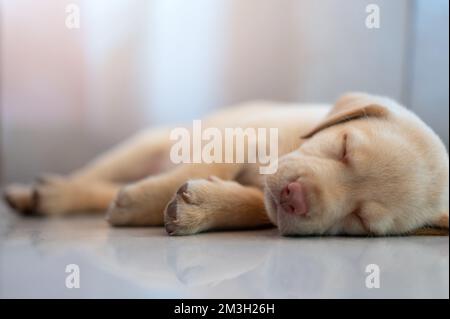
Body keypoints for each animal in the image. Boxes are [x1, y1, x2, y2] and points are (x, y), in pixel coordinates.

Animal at [3, 92, 450, 238]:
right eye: (344, 147)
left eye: (361, 221)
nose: (296, 197)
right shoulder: (237, 137)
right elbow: (203, 166)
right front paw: (144, 202)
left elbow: (256, 204)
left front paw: (201, 207)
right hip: (144, 143)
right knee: (92, 175)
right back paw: (45, 193)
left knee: (100, 188)